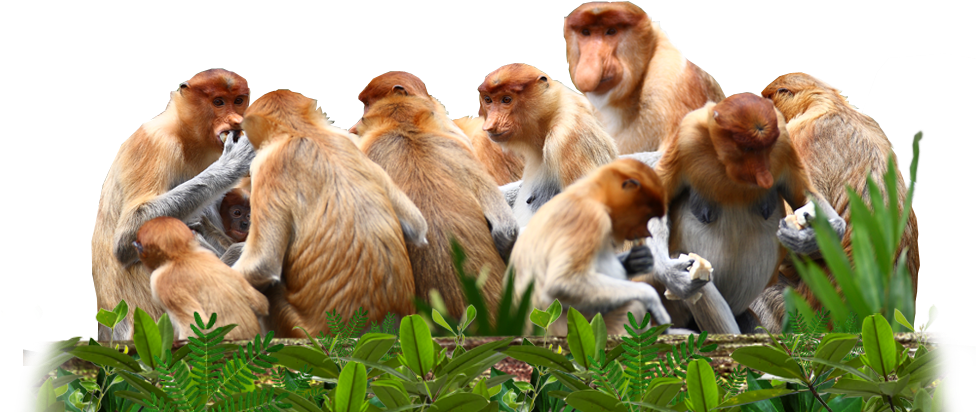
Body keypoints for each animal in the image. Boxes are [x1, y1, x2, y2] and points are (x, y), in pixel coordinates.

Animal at [229, 89, 429, 338]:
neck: (300, 131)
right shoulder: (349, 143)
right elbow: (417, 226)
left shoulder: (269, 165)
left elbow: (262, 264)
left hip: (295, 324)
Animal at [509, 158, 671, 336]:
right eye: (647, 216)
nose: (646, 234)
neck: (591, 195)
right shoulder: (589, 217)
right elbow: (562, 283)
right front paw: (654, 301)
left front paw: (638, 259)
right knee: (635, 305)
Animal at [640, 93, 847, 334]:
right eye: (748, 148)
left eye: (766, 148)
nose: (764, 176)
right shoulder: (686, 138)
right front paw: (673, 275)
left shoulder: (783, 143)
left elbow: (805, 195)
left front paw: (808, 238)